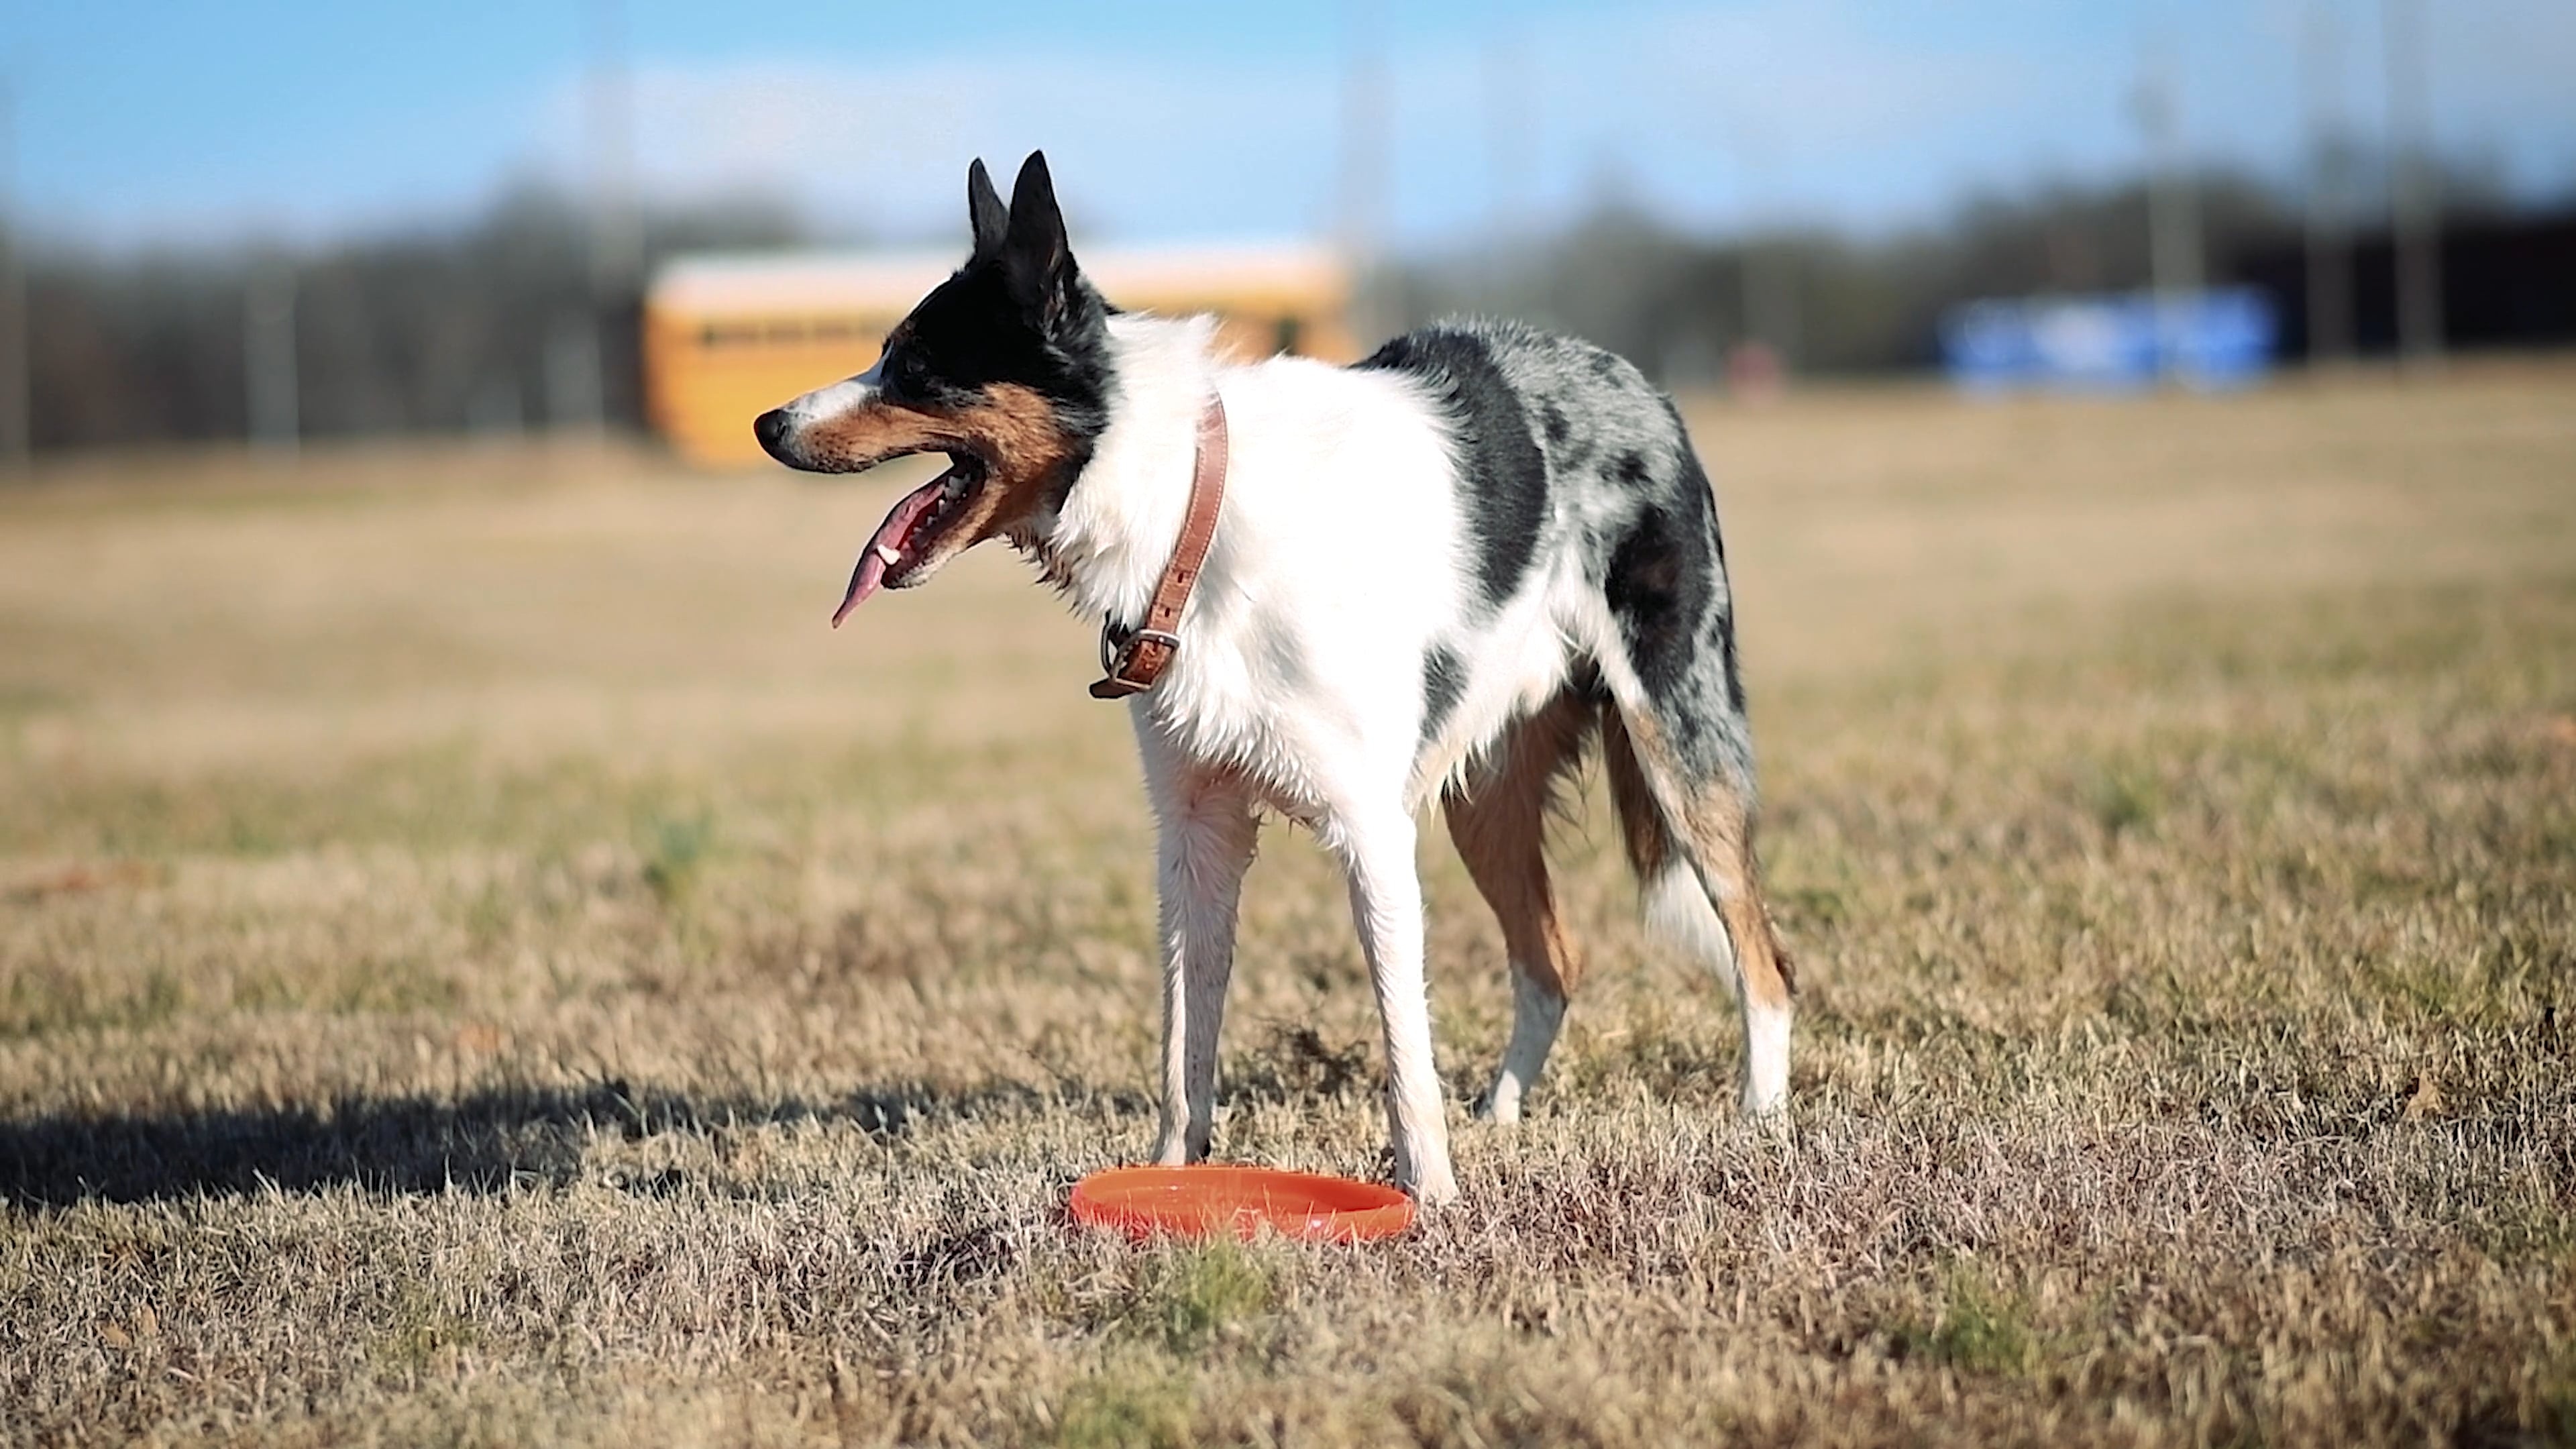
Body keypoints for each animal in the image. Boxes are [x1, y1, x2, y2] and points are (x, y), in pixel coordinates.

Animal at [752, 152, 1792, 1201]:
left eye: (917, 367)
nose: (767, 422)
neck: (1188, 504)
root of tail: (1637, 382)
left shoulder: (1370, 832)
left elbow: (1403, 1051)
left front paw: (1432, 1199)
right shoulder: (1196, 837)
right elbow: (1185, 1049)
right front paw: (1172, 1180)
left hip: (1681, 747)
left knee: (1762, 956)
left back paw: (1761, 1119)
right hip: (1484, 799)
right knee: (1552, 962)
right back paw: (1502, 1115)